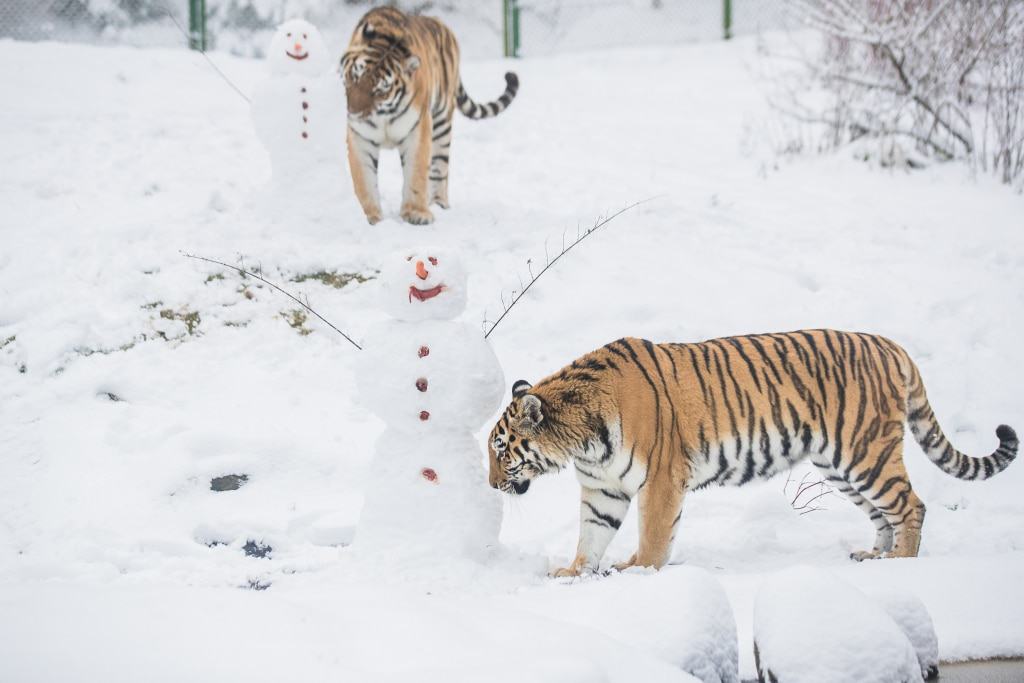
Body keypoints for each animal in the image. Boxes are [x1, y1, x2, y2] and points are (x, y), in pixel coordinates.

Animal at [339, 7, 519, 225]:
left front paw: (416, 213)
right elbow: (364, 180)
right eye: (354, 77)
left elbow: (416, 173)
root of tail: (440, 23)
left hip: (442, 122)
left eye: (380, 91)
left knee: (440, 167)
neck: (383, 113)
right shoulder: (361, 138)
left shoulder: (418, 129)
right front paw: (370, 216)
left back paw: (438, 203)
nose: (354, 112)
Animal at [486, 331, 1018, 577]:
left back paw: (900, 564)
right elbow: (591, 534)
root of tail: (891, 346)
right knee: (883, 513)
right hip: (841, 466)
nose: (491, 485)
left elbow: (655, 536)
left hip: (866, 454)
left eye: (500, 449)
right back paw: (873, 555)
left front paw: (639, 571)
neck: (584, 440)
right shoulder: (604, 488)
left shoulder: (661, 478)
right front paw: (573, 572)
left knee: (911, 505)